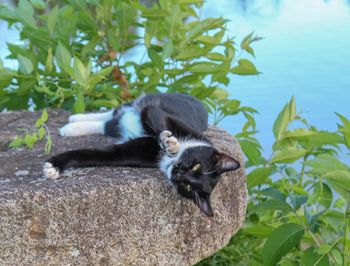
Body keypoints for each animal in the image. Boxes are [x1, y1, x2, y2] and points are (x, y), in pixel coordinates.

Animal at [43, 92, 241, 217]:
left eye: (187, 187)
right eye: (197, 165)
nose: (178, 173)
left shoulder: (129, 153)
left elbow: (93, 155)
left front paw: (54, 166)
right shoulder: (159, 114)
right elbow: (156, 119)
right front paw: (170, 143)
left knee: (109, 124)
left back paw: (73, 127)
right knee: (115, 113)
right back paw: (74, 120)